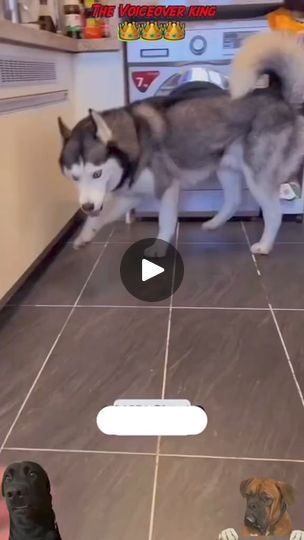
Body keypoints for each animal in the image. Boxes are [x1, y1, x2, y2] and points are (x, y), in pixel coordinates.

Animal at [58, 32, 304, 256]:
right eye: (75, 178)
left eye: (97, 174)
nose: (87, 207)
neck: (135, 138)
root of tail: (275, 94)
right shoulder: (131, 195)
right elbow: (100, 216)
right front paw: (85, 235)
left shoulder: (167, 187)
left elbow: (165, 222)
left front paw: (159, 248)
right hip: (226, 167)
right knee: (234, 200)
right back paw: (213, 224)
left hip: (256, 175)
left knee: (274, 213)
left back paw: (264, 246)